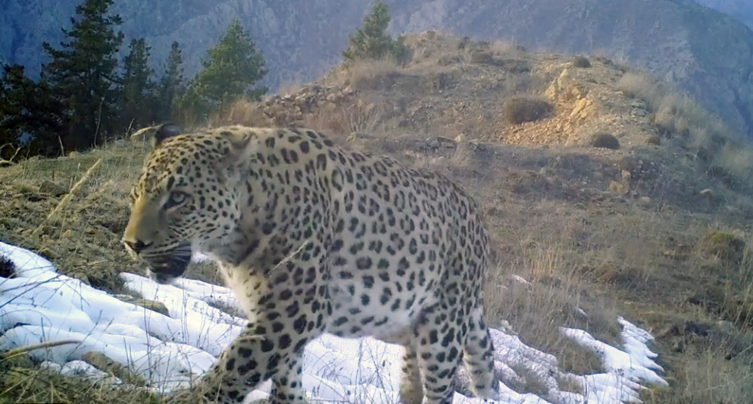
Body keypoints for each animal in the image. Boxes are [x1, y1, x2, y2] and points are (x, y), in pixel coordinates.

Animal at [122, 124, 500, 404]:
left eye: (178, 199)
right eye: (135, 195)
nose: (132, 244)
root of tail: (478, 219)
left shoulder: (295, 310)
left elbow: (235, 365)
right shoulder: (274, 315)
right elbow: (284, 380)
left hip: (443, 332)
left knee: (442, 391)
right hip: (413, 339)